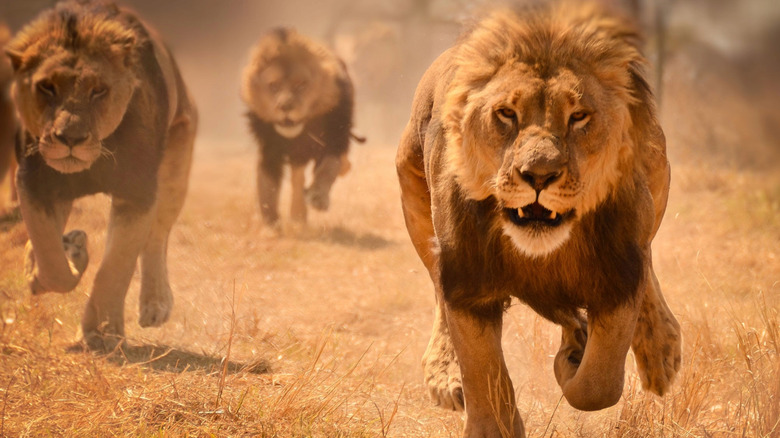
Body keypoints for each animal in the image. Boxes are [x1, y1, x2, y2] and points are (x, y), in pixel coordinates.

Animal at [6, 0, 197, 350]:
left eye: (98, 91)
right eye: (46, 87)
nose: (71, 138)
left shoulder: (137, 193)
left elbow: (116, 266)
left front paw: (102, 333)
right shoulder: (33, 183)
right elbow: (50, 257)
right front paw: (70, 255)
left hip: (176, 164)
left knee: (157, 238)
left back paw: (155, 304)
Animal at [241, 28, 361, 226]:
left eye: (301, 85)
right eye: (273, 86)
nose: (285, 107)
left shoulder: (334, 140)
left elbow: (328, 168)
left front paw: (318, 198)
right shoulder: (269, 150)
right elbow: (267, 187)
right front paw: (270, 224)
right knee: (297, 178)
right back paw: (297, 215)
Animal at [396, 3, 681, 436]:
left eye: (578, 116)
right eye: (506, 114)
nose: (539, 175)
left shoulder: (619, 273)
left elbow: (598, 384)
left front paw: (573, 361)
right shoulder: (466, 282)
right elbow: (484, 375)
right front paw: (493, 415)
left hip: (656, 181)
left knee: (646, 266)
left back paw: (658, 350)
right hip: (413, 197)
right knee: (437, 294)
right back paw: (448, 376)